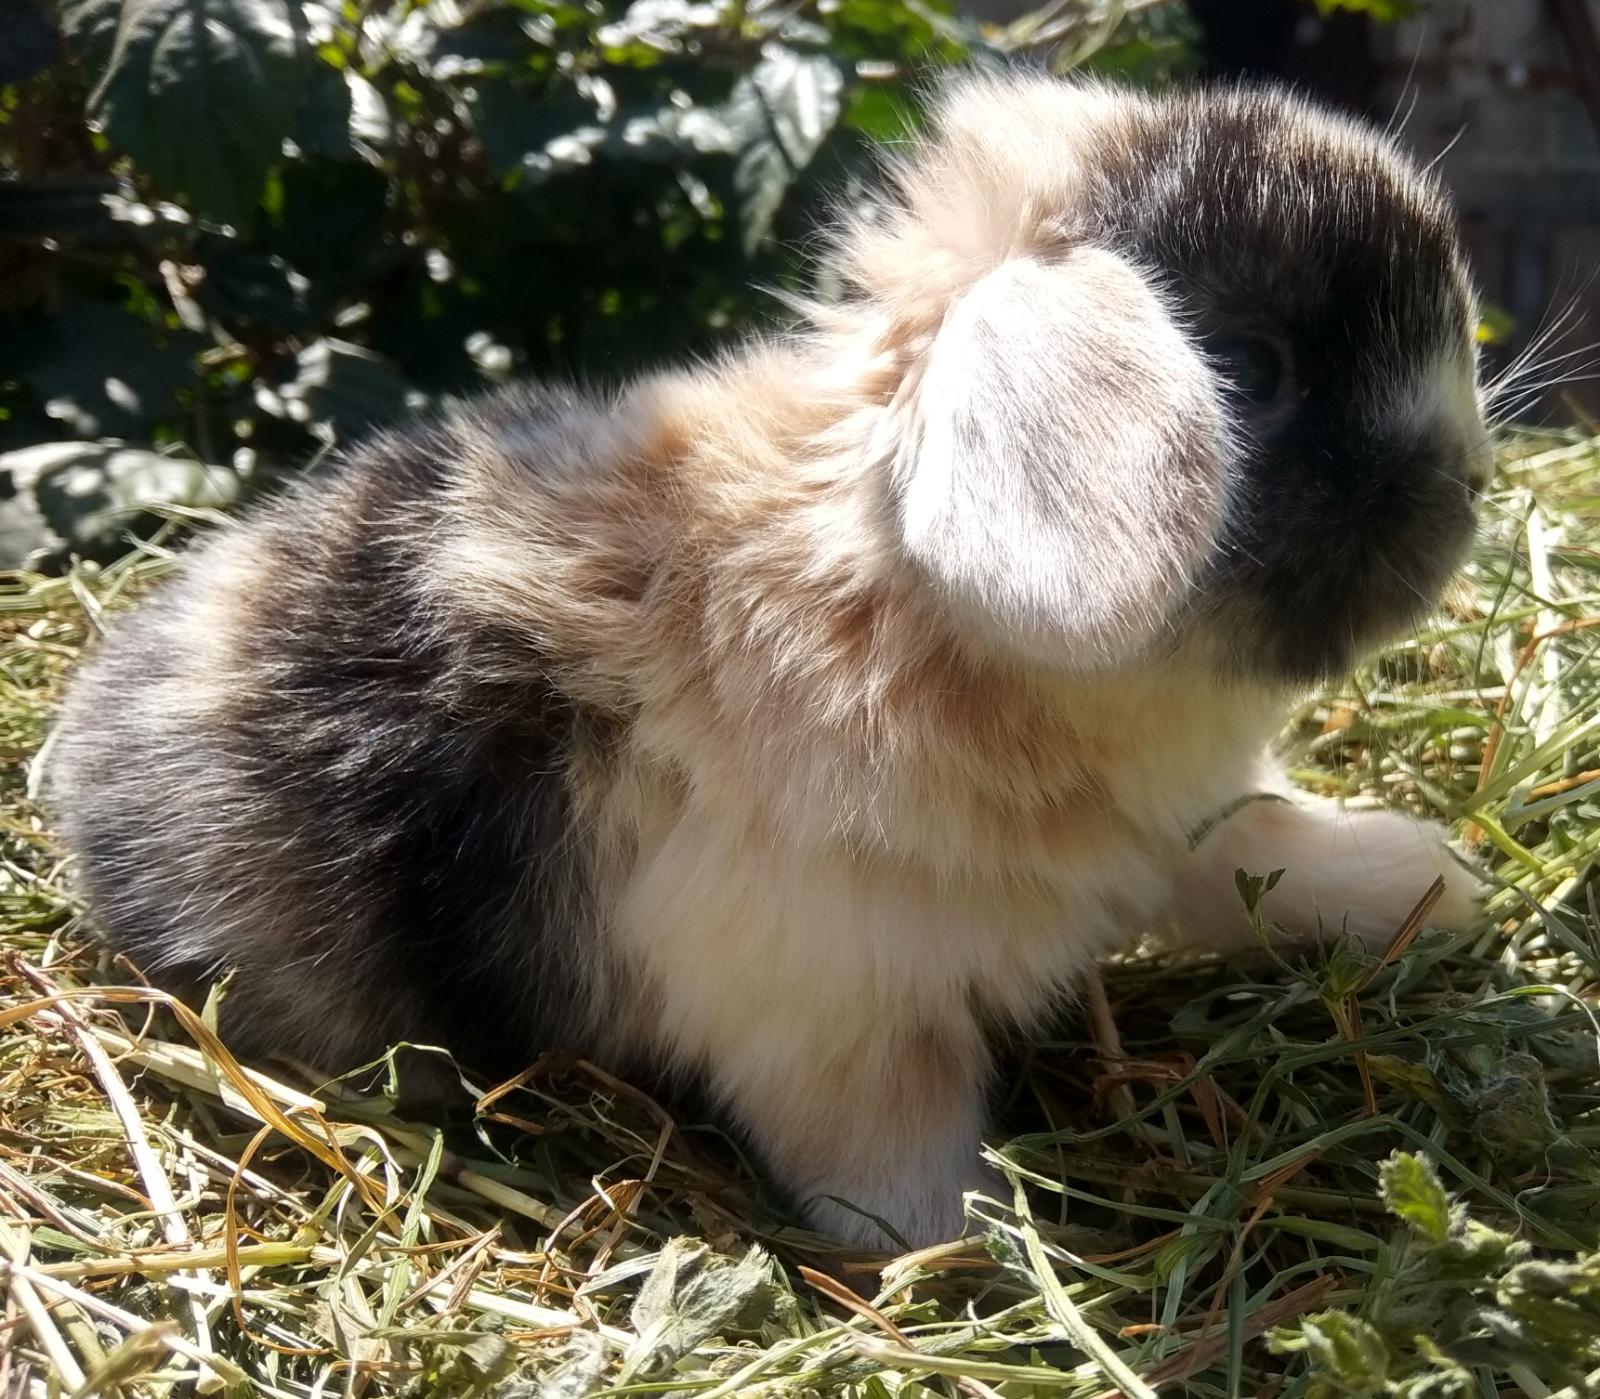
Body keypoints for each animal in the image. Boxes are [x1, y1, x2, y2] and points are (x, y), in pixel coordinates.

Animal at [46, 76, 1484, 1248]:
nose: (1466, 494)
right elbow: (892, 1157)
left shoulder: (1163, 833)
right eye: (1248, 367)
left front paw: (1428, 879)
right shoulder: (832, 1021)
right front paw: (981, 1260)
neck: (900, 616)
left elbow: (1256, 852)